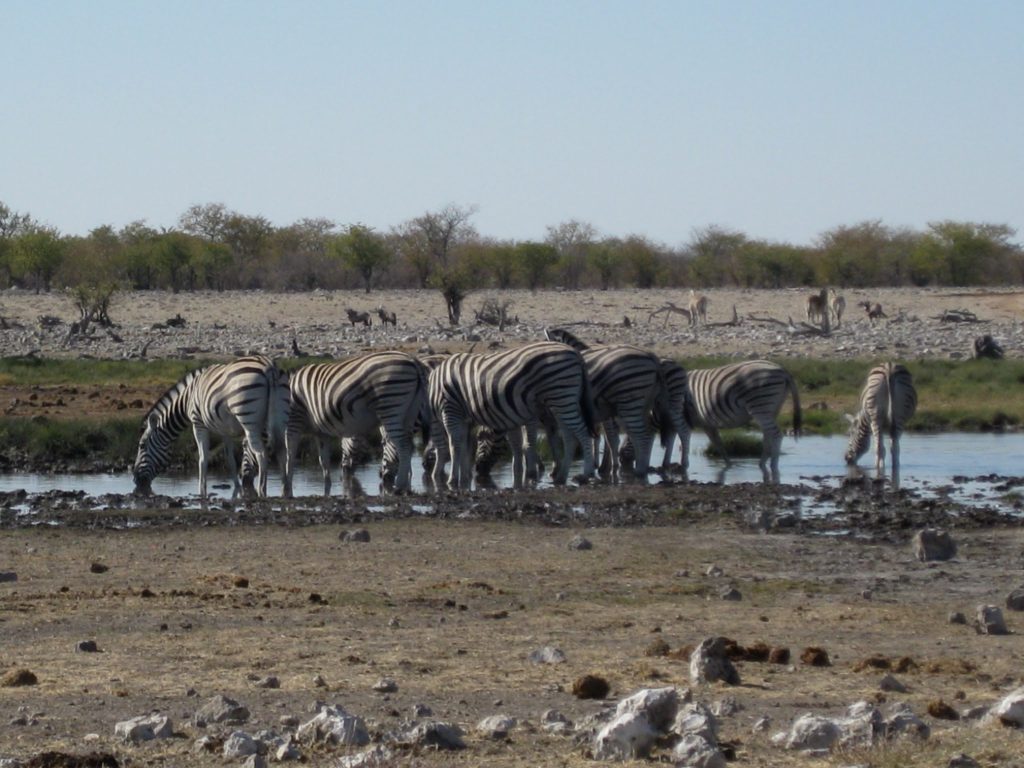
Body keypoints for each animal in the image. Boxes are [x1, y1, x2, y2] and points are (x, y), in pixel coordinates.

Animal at [132, 354, 286, 499]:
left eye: (142, 446)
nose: (135, 479)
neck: (186, 398)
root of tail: (268, 366)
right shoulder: (225, 430)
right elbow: (230, 460)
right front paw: (237, 487)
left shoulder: (197, 423)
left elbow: (202, 458)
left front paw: (201, 489)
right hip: (279, 416)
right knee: (281, 451)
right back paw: (285, 488)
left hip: (249, 420)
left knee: (261, 454)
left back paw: (262, 490)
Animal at [284, 352, 432, 495]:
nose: (343, 471)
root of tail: (414, 361)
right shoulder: (321, 432)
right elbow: (324, 460)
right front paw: (327, 486)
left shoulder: (294, 421)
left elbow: (290, 454)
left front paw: (287, 486)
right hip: (410, 412)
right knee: (408, 444)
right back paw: (405, 487)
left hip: (390, 405)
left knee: (403, 445)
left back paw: (399, 486)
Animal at [428, 342, 598, 489]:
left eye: (482, 437)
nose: (478, 469)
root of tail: (575, 353)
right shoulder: (470, 417)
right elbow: (467, 445)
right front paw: (464, 478)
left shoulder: (450, 410)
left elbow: (454, 445)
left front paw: (451, 480)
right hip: (561, 401)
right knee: (570, 437)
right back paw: (561, 477)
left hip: (562, 396)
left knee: (583, 433)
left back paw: (585, 474)